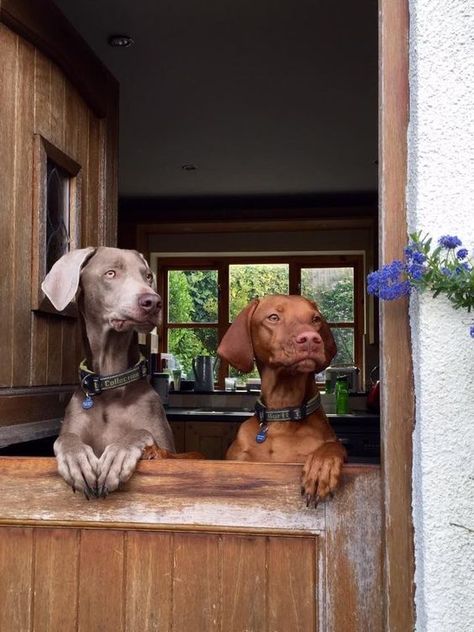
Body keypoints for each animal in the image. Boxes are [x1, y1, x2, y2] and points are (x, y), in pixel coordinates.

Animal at [41, 247, 201, 498]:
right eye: (111, 273)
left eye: (148, 276)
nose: (153, 302)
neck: (110, 384)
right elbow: (66, 438)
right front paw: (76, 458)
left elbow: (141, 432)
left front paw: (119, 453)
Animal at [217, 294, 346, 506]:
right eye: (273, 317)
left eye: (315, 319)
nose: (311, 338)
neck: (283, 414)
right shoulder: (238, 461)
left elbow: (333, 446)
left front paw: (322, 467)